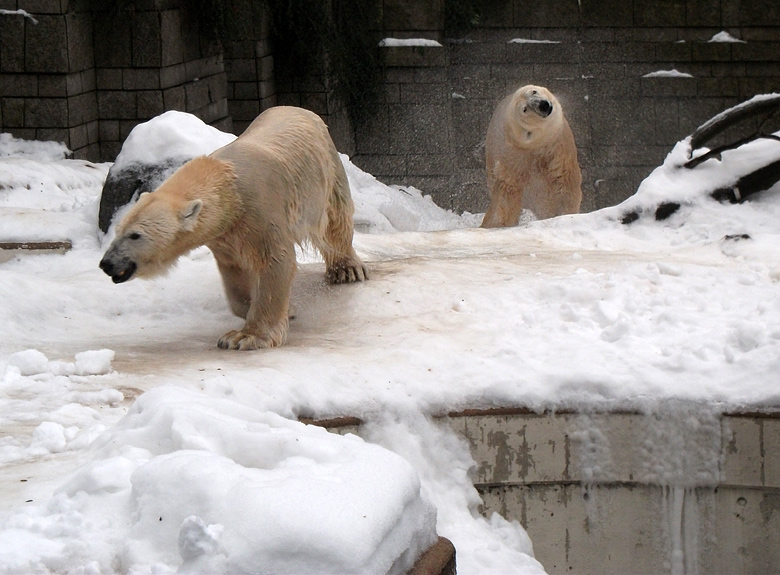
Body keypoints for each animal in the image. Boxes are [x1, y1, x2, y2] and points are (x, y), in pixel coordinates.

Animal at [100, 107, 368, 352]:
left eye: (135, 235)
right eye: (118, 230)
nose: (106, 263)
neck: (228, 184)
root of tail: (300, 109)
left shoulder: (261, 209)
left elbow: (275, 261)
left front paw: (246, 337)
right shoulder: (225, 233)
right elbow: (234, 273)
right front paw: (273, 309)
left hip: (325, 169)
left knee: (336, 219)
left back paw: (347, 269)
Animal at [478, 84, 580, 228]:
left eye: (534, 91)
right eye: (525, 109)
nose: (543, 105)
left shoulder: (557, 145)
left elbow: (563, 179)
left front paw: (563, 213)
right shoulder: (512, 157)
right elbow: (507, 190)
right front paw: (495, 223)